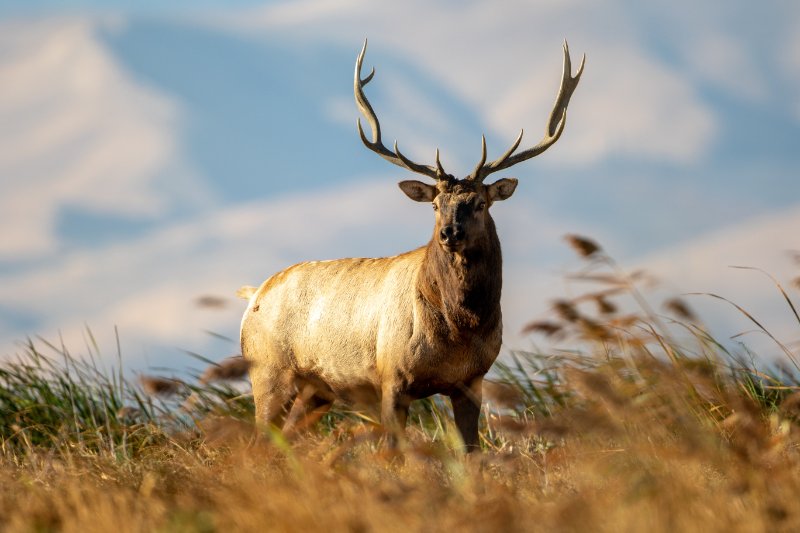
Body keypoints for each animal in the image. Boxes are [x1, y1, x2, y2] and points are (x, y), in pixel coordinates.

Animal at [238, 39, 580, 450]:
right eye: (435, 204)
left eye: (480, 203)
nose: (449, 233)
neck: (459, 332)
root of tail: (253, 295)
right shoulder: (391, 378)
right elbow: (396, 454)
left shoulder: (472, 381)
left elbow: (472, 452)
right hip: (268, 372)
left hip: (315, 391)